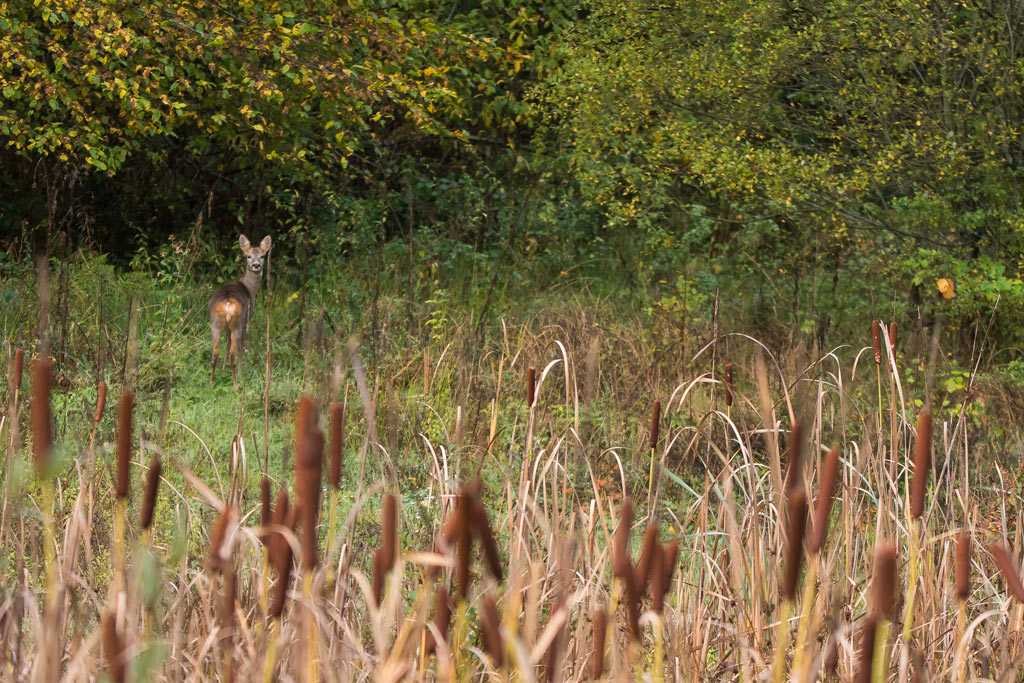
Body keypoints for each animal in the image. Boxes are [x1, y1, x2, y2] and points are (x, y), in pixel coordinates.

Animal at [209, 235, 272, 387]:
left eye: (262, 256)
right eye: (248, 256)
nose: (256, 265)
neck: (250, 288)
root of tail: (227, 303)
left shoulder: (227, 327)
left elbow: (226, 345)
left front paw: (223, 368)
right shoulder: (247, 321)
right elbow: (239, 348)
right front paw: (239, 371)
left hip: (216, 324)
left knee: (215, 352)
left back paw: (211, 382)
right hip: (238, 323)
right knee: (235, 351)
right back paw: (236, 384)